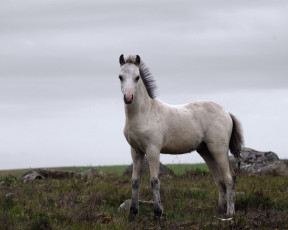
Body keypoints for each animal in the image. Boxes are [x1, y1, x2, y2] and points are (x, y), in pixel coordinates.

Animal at [118, 54, 244, 219]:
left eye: (137, 77)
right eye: (120, 76)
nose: (128, 97)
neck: (144, 114)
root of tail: (226, 113)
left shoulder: (153, 150)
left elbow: (154, 181)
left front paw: (157, 213)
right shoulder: (136, 151)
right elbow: (135, 181)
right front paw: (132, 213)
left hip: (219, 149)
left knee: (229, 178)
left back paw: (230, 213)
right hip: (205, 151)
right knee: (219, 179)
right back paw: (220, 210)